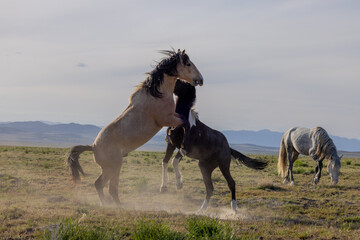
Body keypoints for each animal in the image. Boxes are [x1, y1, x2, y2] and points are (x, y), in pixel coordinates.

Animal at [66, 49, 204, 206]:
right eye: (188, 64)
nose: (200, 79)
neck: (157, 94)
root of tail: (93, 147)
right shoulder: (167, 118)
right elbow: (185, 123)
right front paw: (178, 181)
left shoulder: (172, 117)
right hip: (113, 167)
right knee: (107, 187)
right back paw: (116, 205)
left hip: (110, 168)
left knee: (101, 185)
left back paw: (108, 204)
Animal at [160, 81, 268, 214]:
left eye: (183, 83)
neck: (181, 122)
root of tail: (228, 148)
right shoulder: (171, 145)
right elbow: (165, 162)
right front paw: (163, 187)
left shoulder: (184, 149)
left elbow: (174, 162)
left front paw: (179, 184)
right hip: (205, 167)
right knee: (210, 188)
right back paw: (200, 210)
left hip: (223, 164)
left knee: (231, 183)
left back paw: (234, 208)